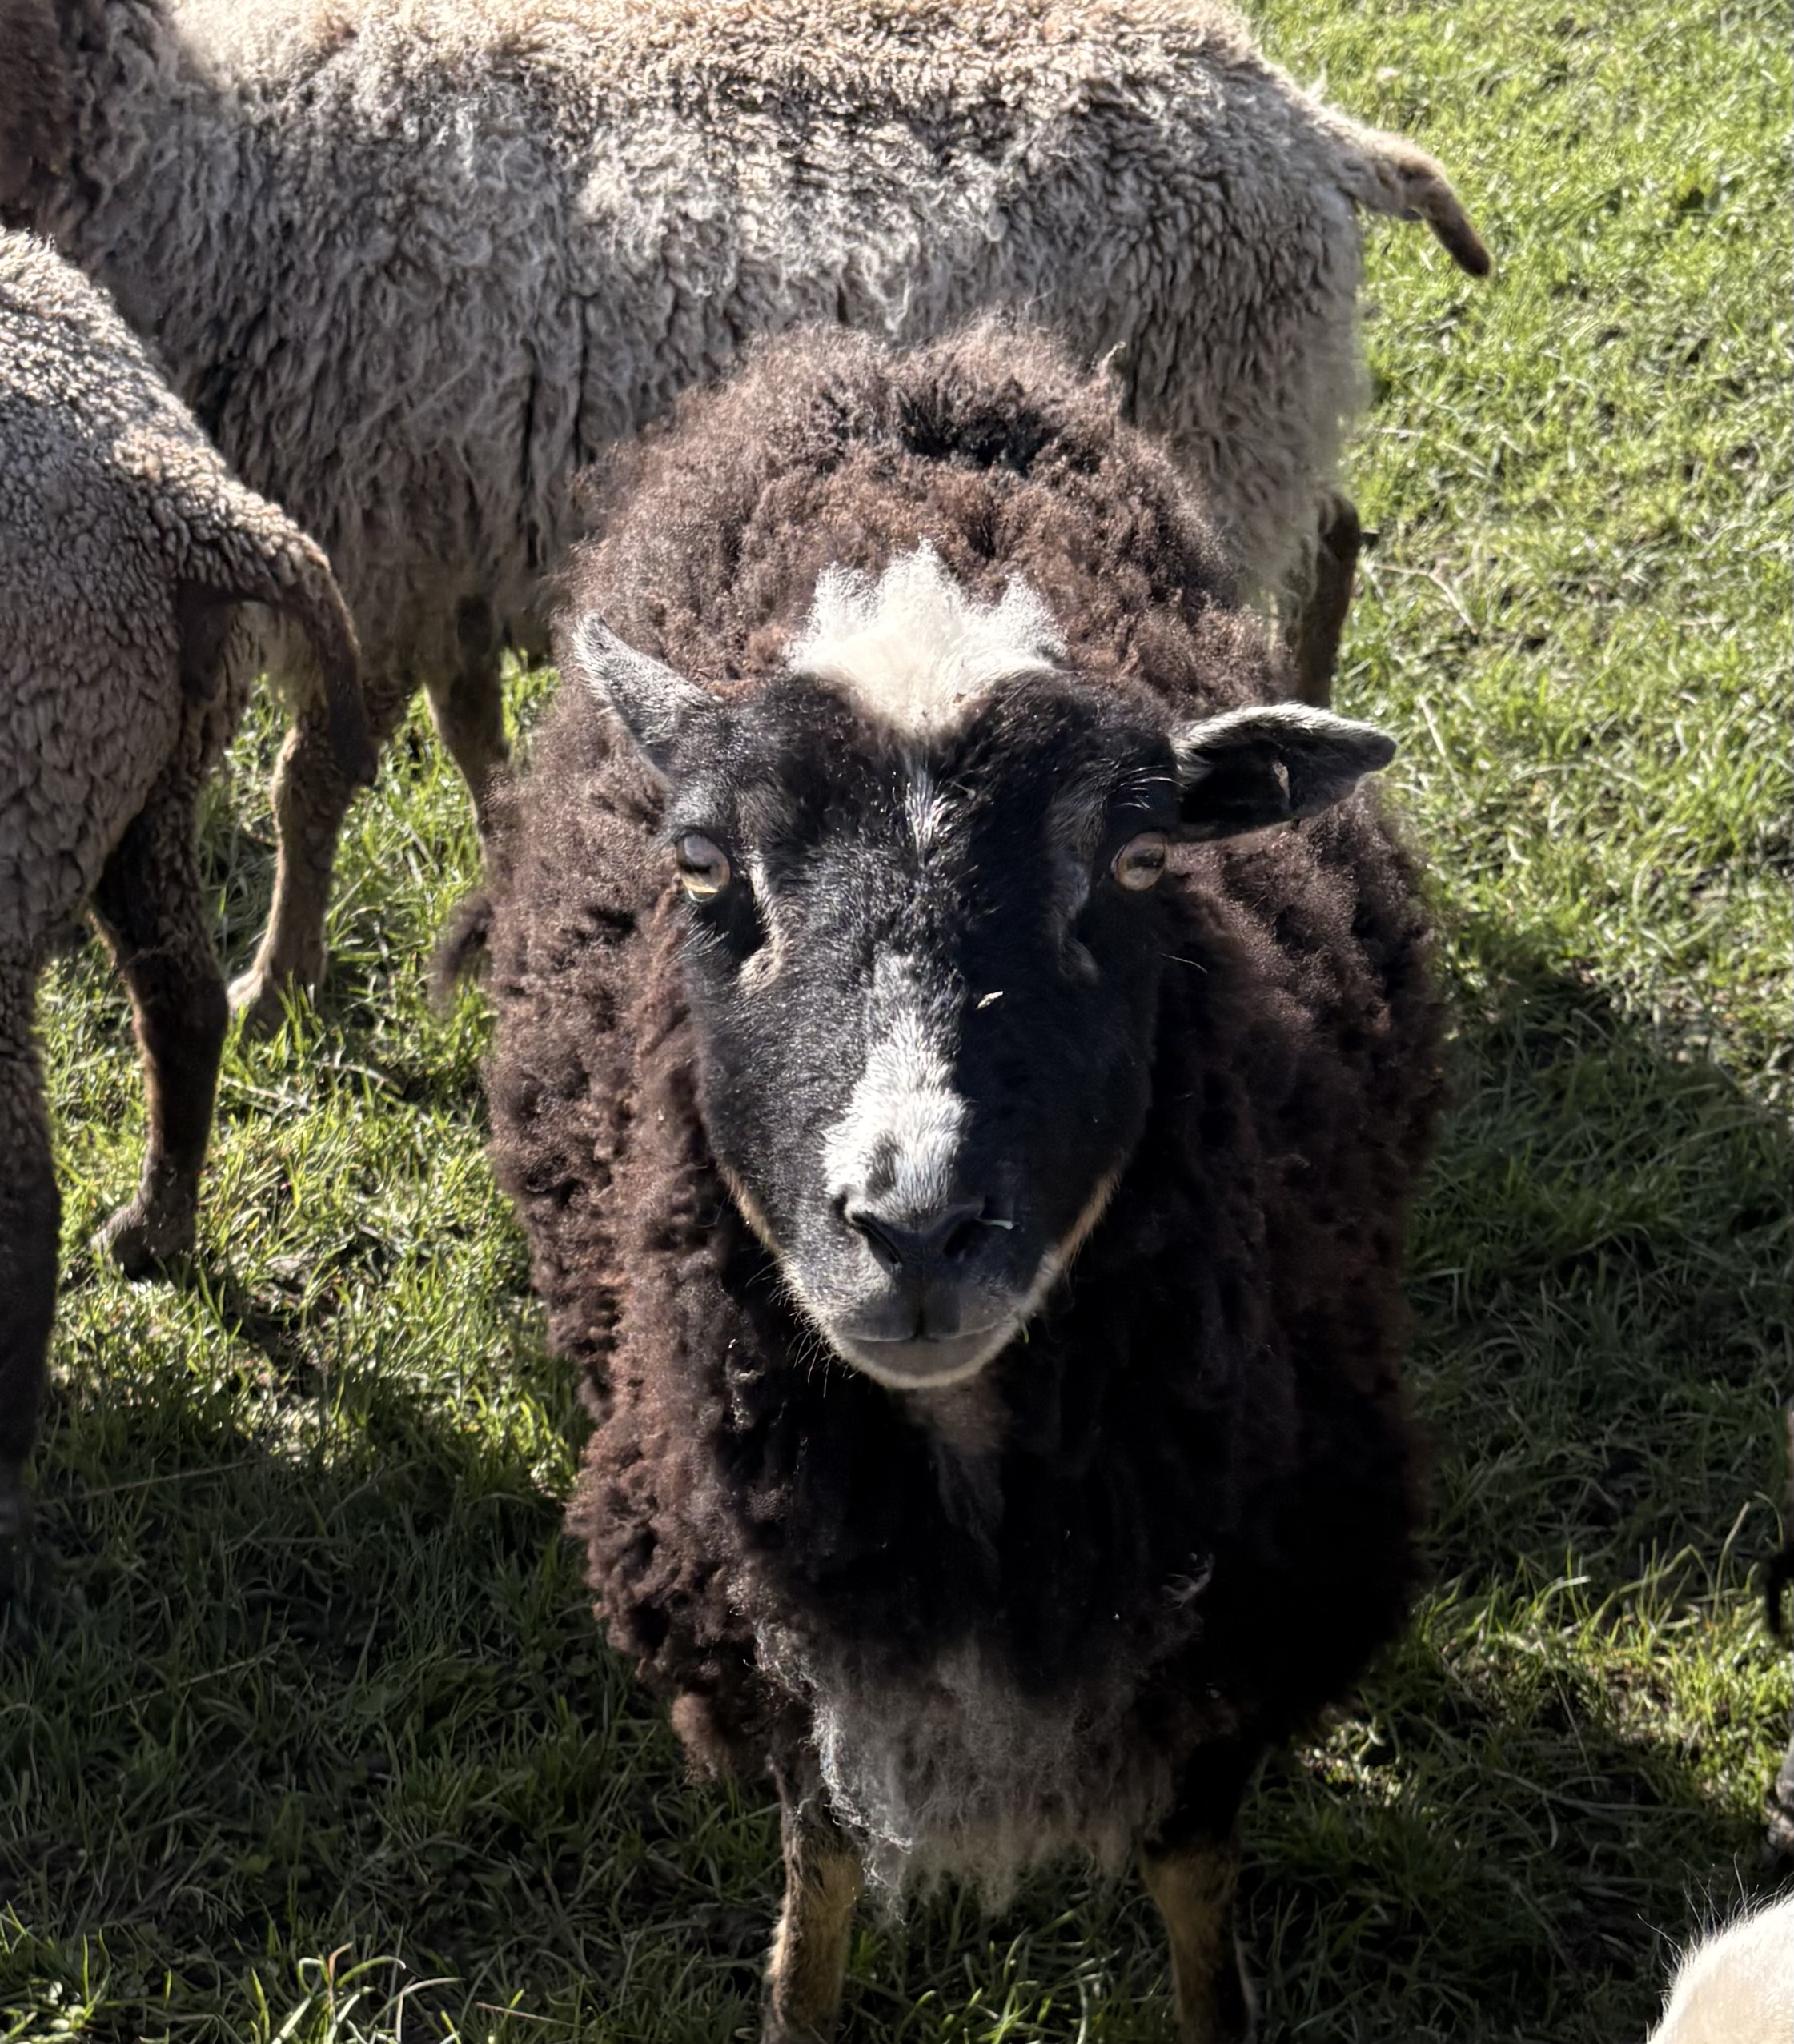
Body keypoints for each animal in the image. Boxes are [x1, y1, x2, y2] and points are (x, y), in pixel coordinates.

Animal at [1, 0, 1488, 1033]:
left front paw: (273, 991)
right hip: (1260, 416)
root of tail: (1305, 123)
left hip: (1220, 424)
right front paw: (513, 885)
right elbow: (474, 737)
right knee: (1337, 531)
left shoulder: (374, 541)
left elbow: (307, 785)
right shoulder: (453, 536)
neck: (217, 157)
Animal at [460, 320, 1444, 2041]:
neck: (970, 1458)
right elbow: (822, 1867)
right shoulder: (773, 1618)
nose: (913, 1227)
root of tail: (910, 359)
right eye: (703, 864)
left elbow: (1193, 1881)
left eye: (1134, 862)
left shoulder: (1249, 1619)